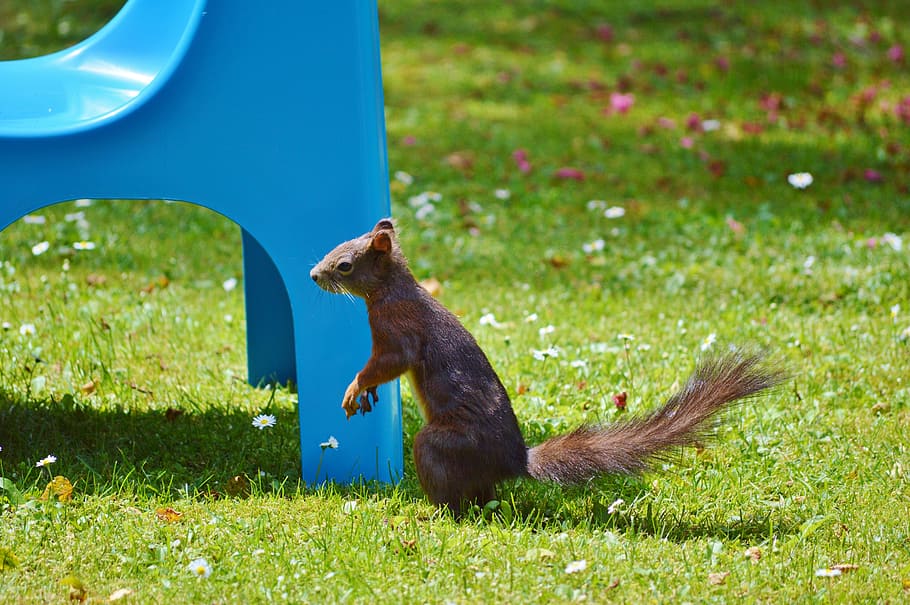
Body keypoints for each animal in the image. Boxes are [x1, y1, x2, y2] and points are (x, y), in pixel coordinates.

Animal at [310, 219, 787, 514]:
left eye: (345, 265)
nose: (314, 275)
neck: (391, 289)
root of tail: (513, 463)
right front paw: (365, 394)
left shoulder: (397, 329)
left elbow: (388, 363)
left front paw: (354, 388)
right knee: (485, 499)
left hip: (438, 445)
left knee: (461, 501)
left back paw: (431, 515)